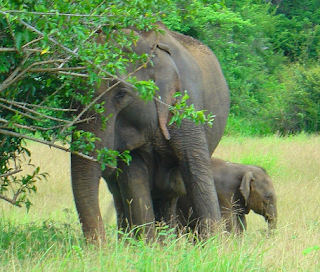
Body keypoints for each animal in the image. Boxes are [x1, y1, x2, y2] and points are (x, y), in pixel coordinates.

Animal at [71, 22, 230, 241]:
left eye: (121, 94)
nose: (100, 246)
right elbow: (134, 178)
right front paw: (145, 244)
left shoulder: (186, 103)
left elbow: (195, 167)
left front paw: (215, 245)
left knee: (169, 193)